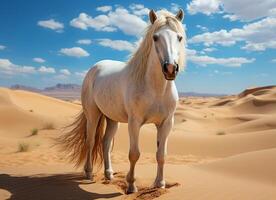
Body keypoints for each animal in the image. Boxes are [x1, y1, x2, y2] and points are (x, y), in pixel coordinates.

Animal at [59, 9, 187, 194]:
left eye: (179, 37)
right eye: (155, 37)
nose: (170, 69)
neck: (155, 88)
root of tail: (95, 67)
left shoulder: (166, 123)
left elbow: (161, 155)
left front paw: (160, 183)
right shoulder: (134, 123)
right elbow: (134, 154)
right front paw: (131, 186)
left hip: (112, 119)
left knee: (105, 143)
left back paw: (109, 174)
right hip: (93, 115)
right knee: (90, 141)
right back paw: (89, 173)